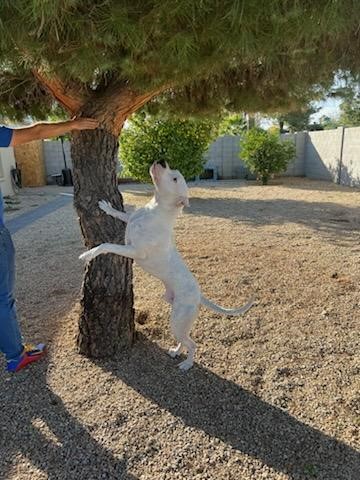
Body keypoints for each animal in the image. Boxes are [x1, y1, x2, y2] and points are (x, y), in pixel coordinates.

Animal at [79, 161, 253, 372]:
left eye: (175, 178)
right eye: (173, 171)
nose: (161, 160)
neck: (154, 210)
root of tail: (199, 294)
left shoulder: (135, 251)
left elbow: (106, 245)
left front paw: (88, 254)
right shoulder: (131, 220)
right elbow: (122, 214)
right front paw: (107, 207)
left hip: (177, 321)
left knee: (192, 344)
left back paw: (187, 363)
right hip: (176, 315)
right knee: (185, 340)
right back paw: (176, 351)